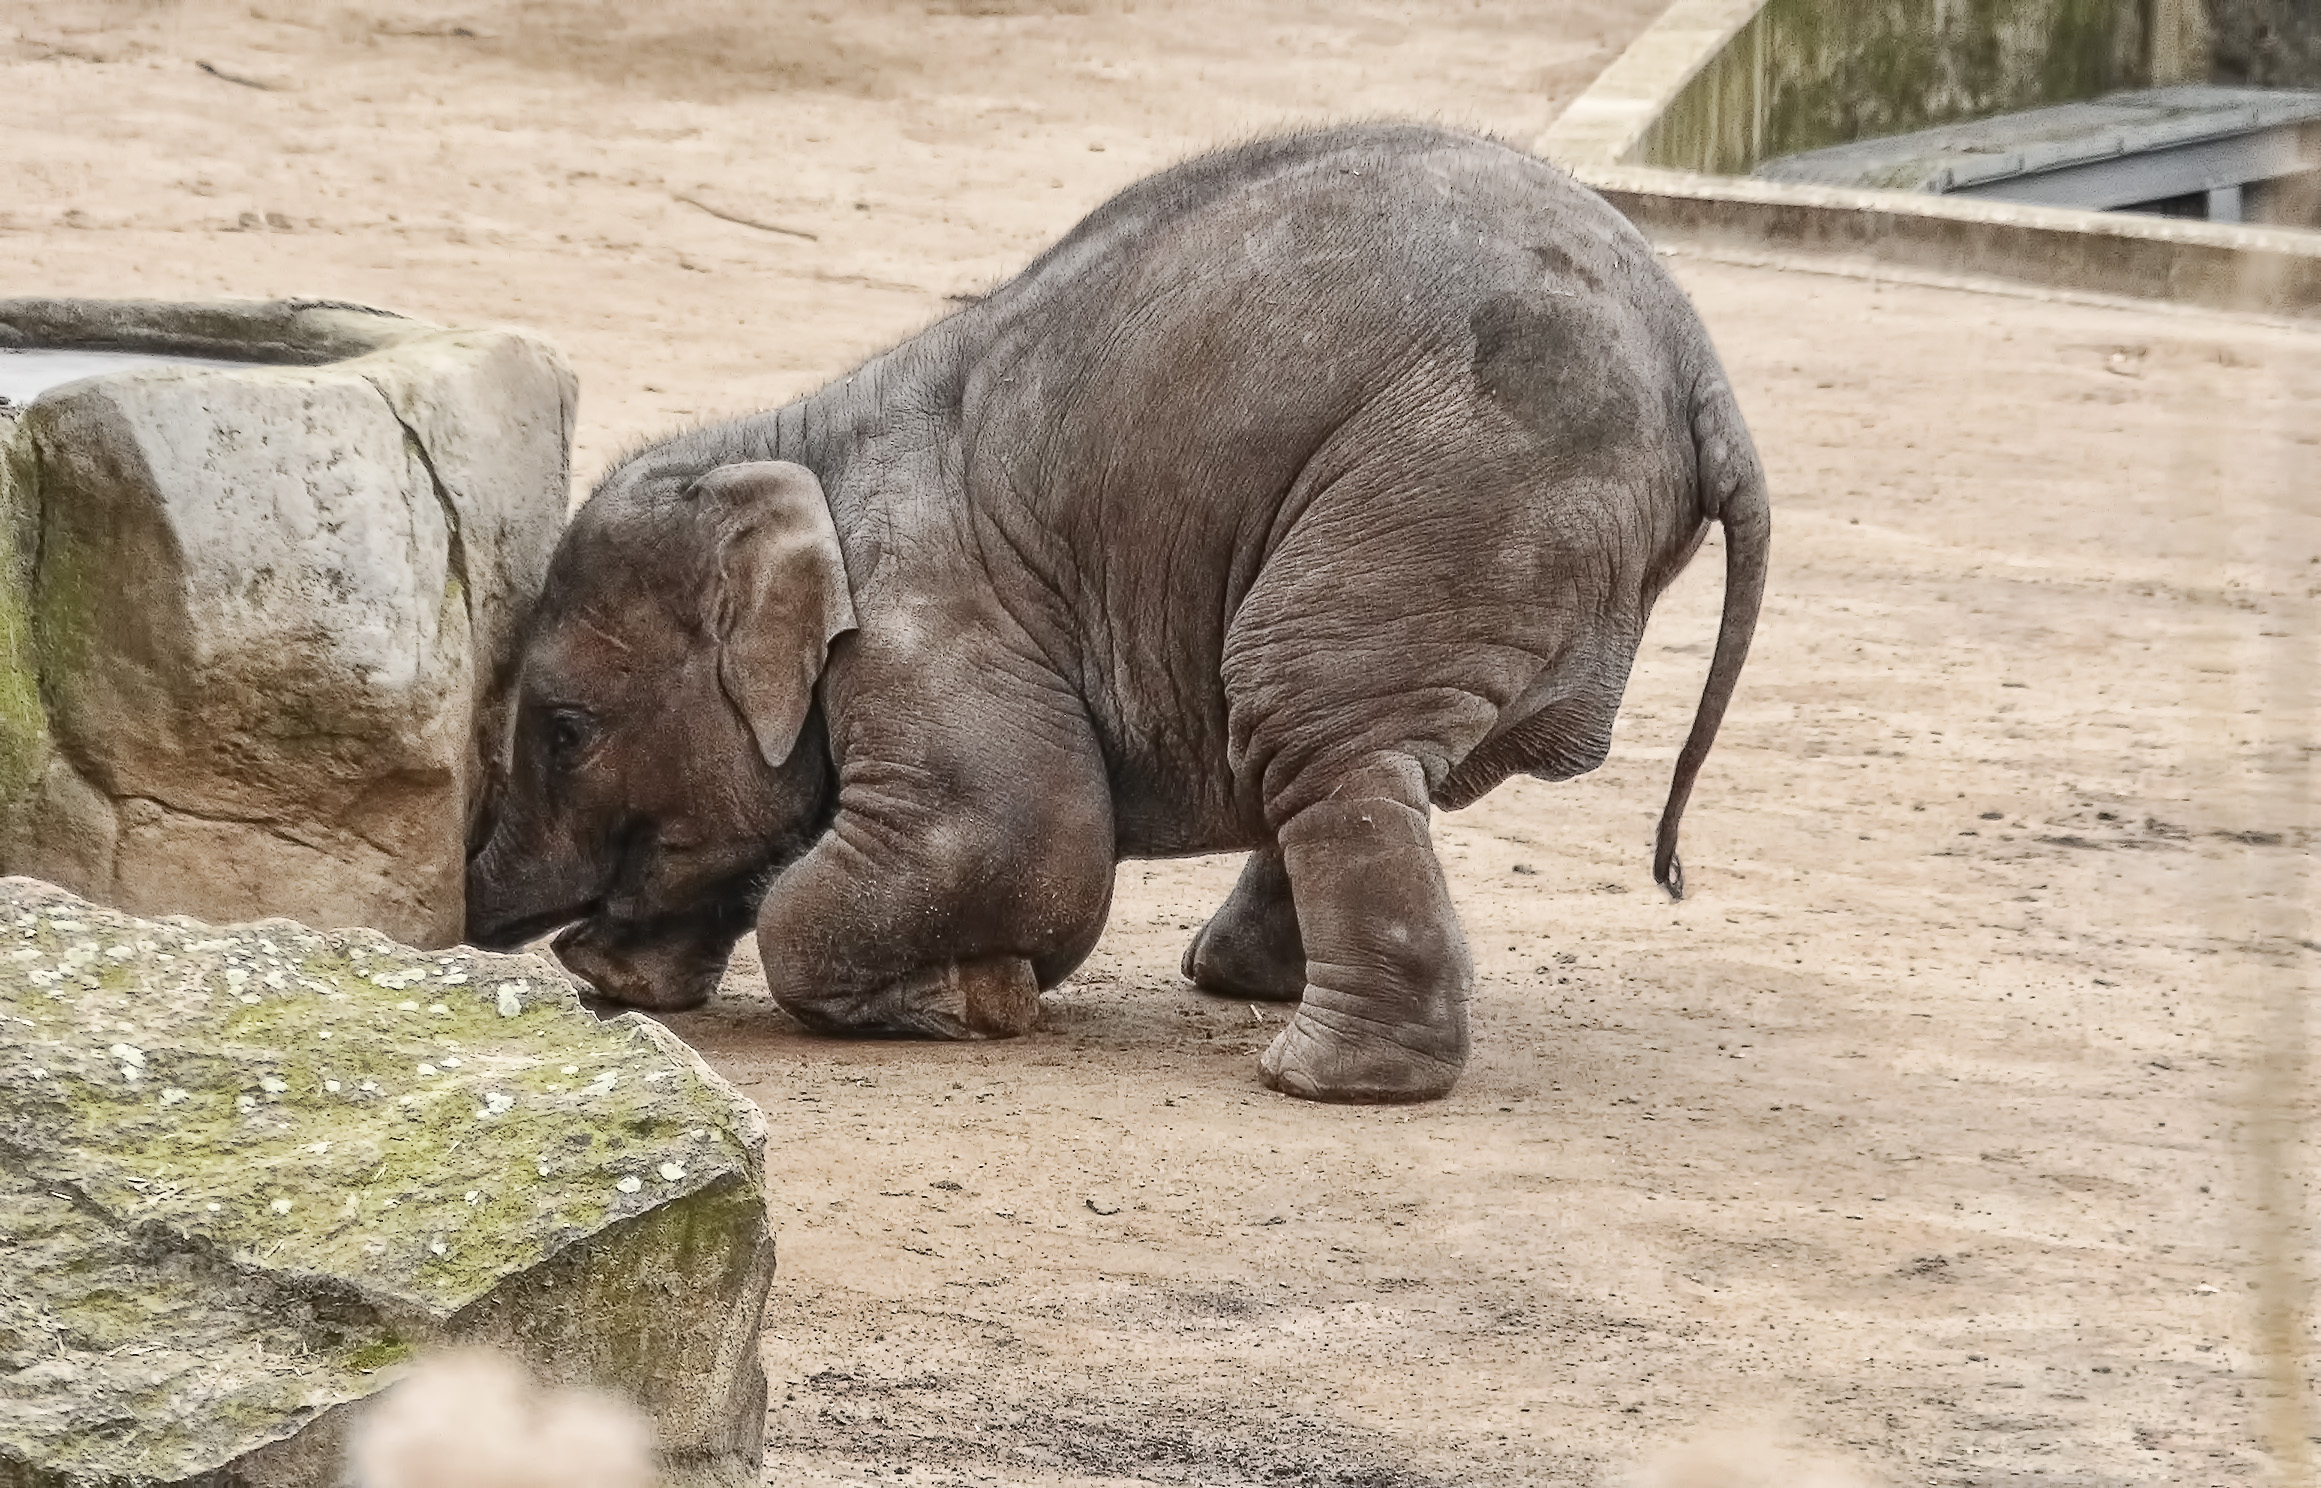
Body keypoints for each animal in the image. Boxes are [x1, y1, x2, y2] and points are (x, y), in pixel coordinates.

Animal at [475, 124, 1773, 1104]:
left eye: (565, 731)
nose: (487, 907)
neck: (793, 440)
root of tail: (1703, 375)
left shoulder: (932, 618)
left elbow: (1018, 838)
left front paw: (977, 997)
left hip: (1457, 488)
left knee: (1308, 718)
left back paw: (1315, 1077)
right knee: (1347, 748)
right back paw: (1239, 979)